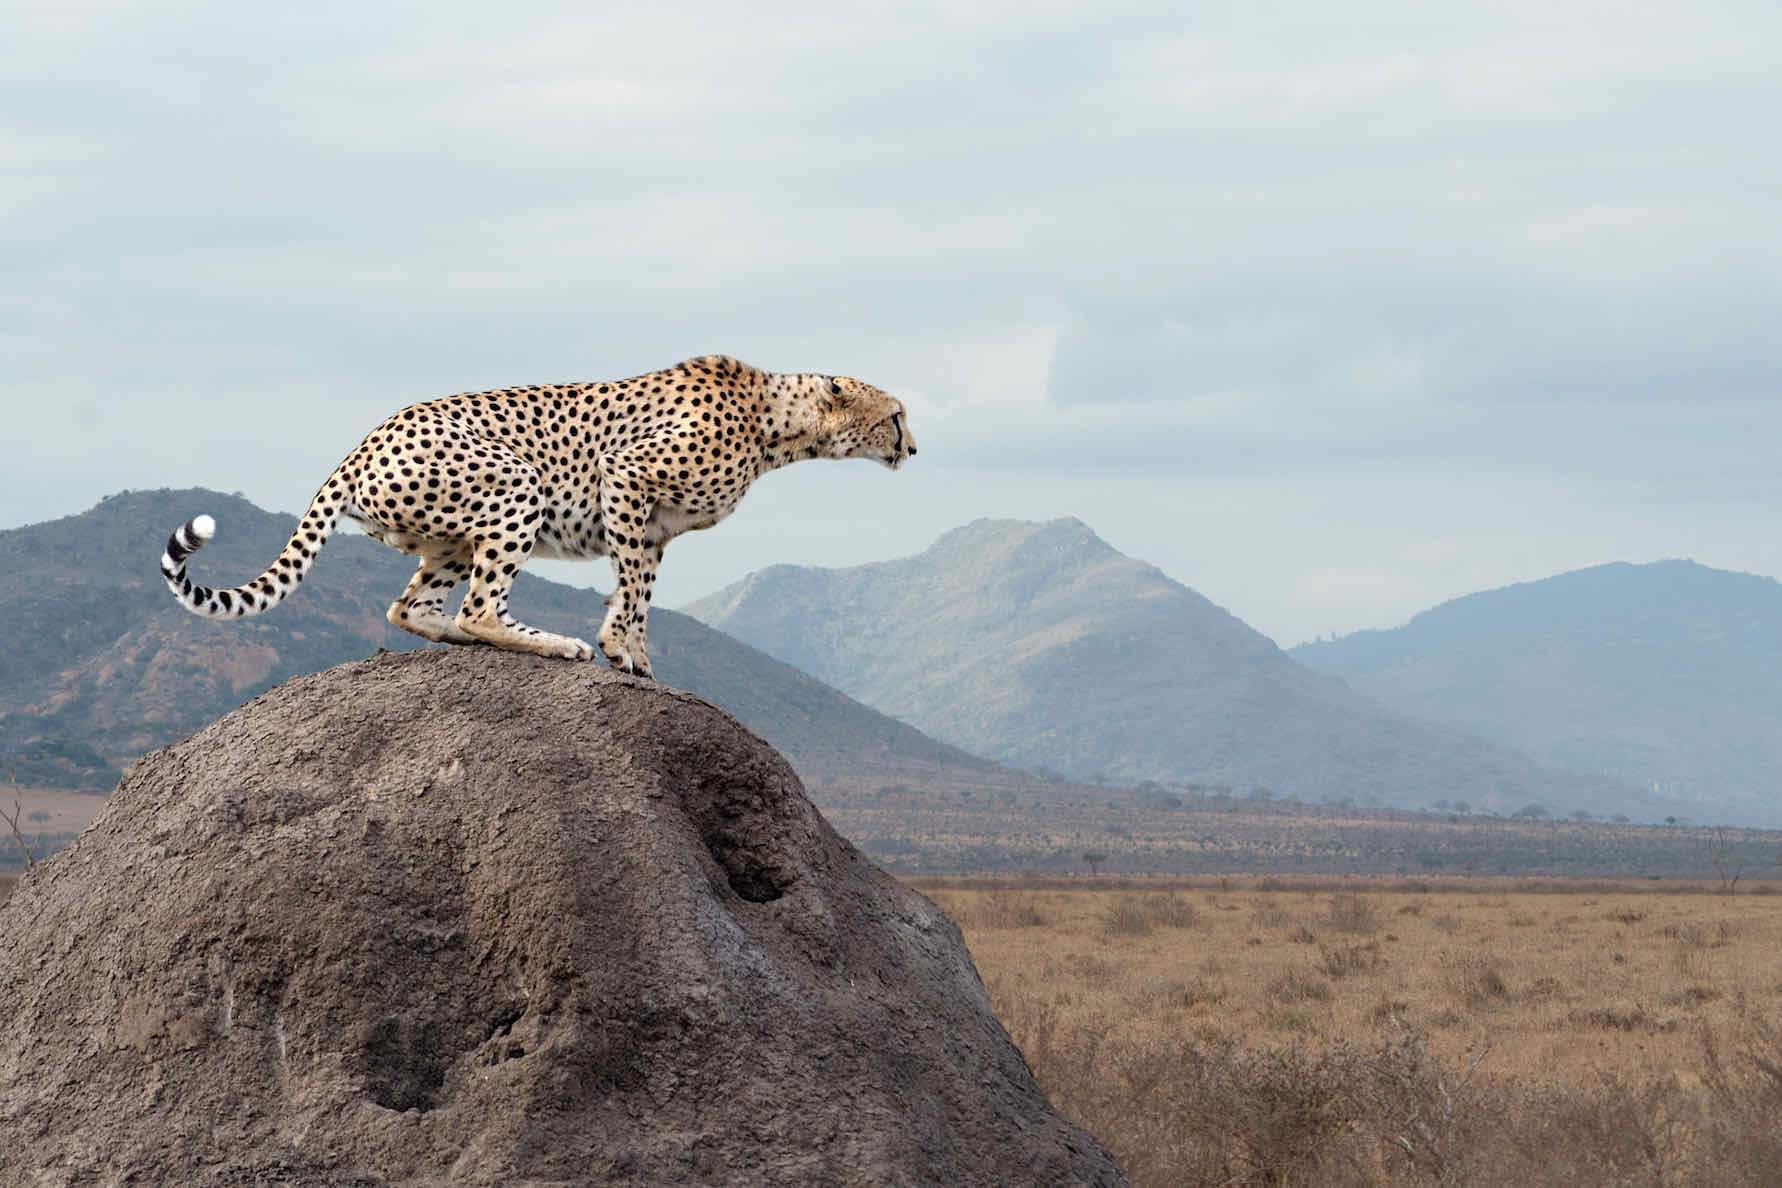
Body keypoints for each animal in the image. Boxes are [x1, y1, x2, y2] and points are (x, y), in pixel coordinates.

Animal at [159, 355, 917, 678]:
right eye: (896, 415)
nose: (913, 447)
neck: (775, 424)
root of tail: (366, 439)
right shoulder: (627, 478)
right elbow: (630, 590)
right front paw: (615, 647)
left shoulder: (656, 528)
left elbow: (641, 591)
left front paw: (639, 656)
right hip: (516, 486)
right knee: (478, 608)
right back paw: (552, 643)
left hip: (448, 538)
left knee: (412, 607)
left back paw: (467, 640)